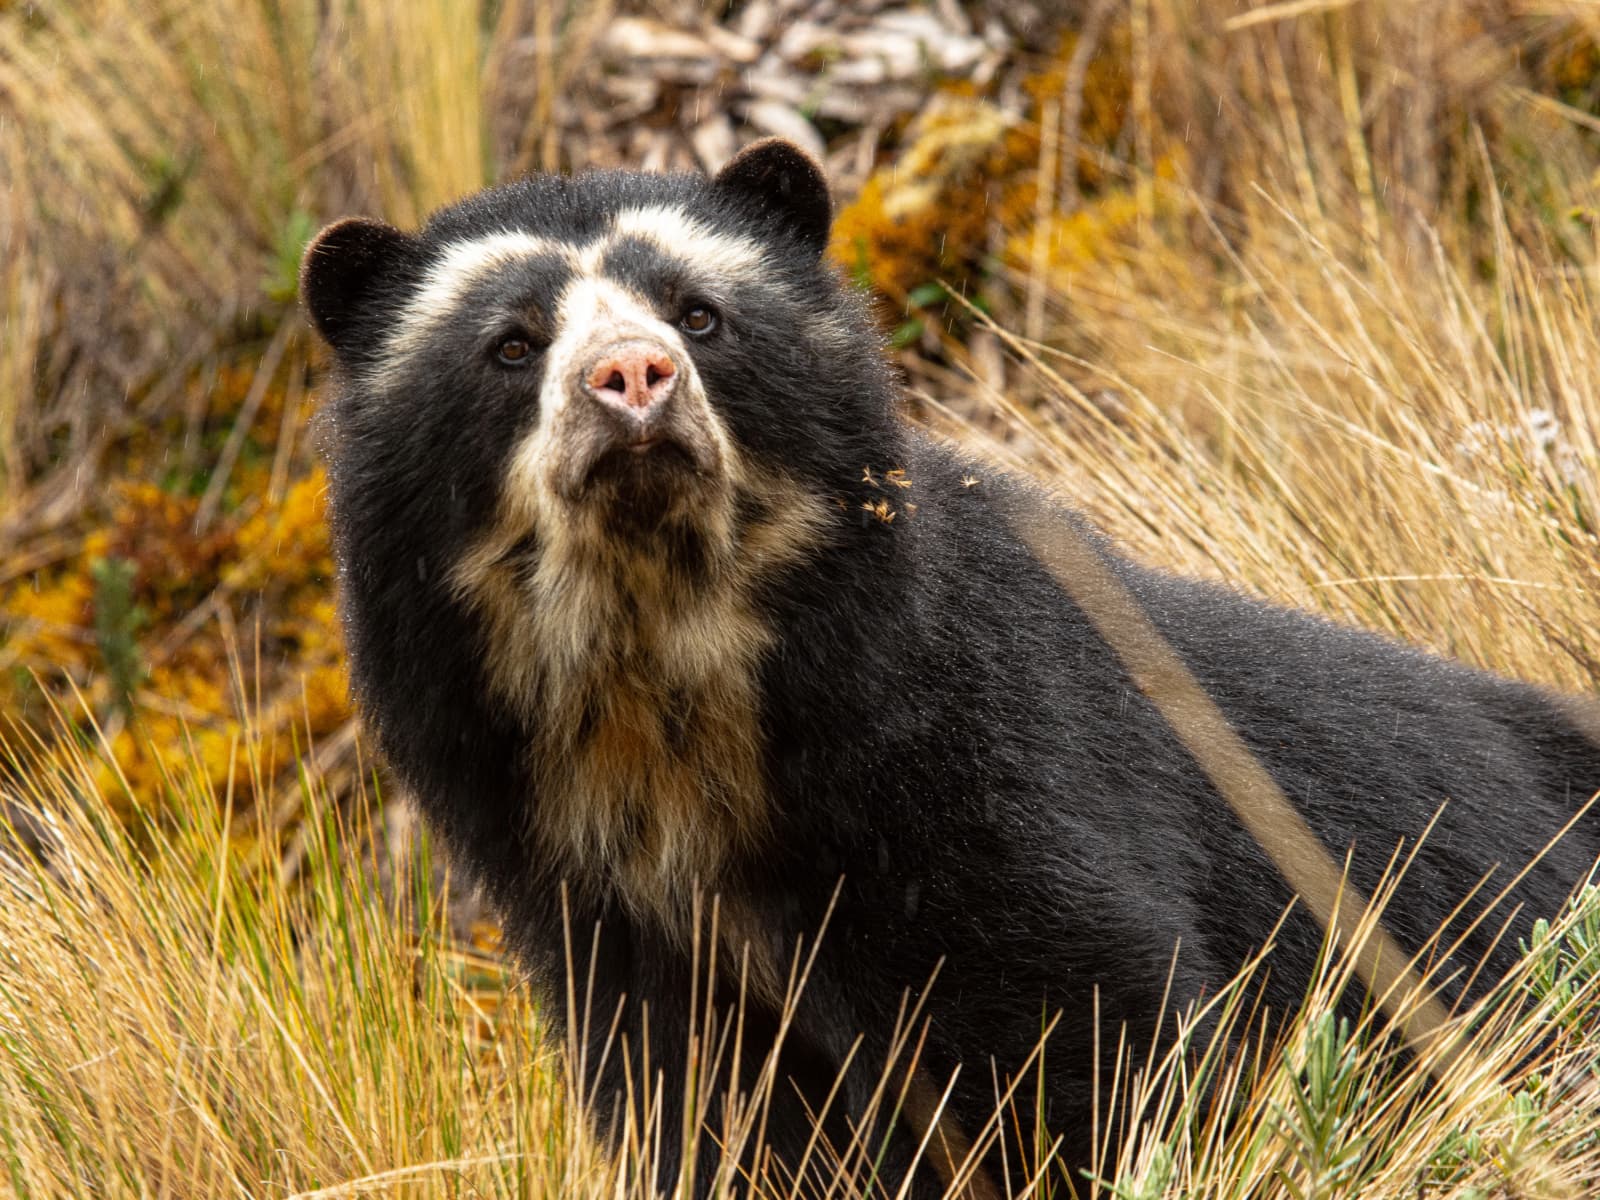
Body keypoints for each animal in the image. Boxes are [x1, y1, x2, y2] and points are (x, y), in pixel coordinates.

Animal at [300, 138, 1600, 1198]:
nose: (631, 379)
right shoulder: (605, 916)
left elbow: (1090, 1015)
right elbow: (719, 1120)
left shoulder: (969, 765)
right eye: (510, 346)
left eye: (700, 313)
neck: (673, 688)